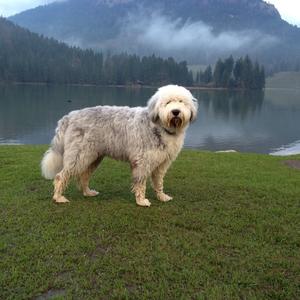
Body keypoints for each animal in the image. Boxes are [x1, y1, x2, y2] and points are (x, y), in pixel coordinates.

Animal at [41, 84, 198, 206]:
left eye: (181, 101)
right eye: (167, 102)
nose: (175, 111)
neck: (160, 126)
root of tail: (70, 116)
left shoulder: (162, 163)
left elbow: (158, 182)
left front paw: (161, 196)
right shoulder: (142, 162)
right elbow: (140, 182)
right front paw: (141, 201)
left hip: (93, 157)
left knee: (83, 176)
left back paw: (88, 192)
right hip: (79, 156)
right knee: (61, 176)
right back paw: (58, 197)